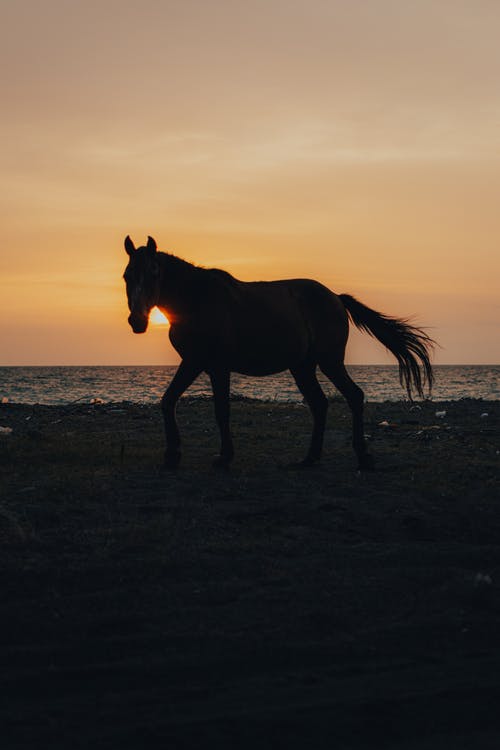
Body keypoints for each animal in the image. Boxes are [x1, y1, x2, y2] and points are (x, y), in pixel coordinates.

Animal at [122, 235, 434, 470]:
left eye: (154, 273)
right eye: (127, 275)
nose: (137, 322)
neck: (197, 300)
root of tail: (335, 297)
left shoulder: (217, 366)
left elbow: (221, 410)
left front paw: (224, 457)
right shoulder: (194, 362)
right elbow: (168, 401)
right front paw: (172, 455)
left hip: (330, 362)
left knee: (354, 396)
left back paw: (363, 456)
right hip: (303, 367)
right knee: (320, 404)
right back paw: (310, 458)